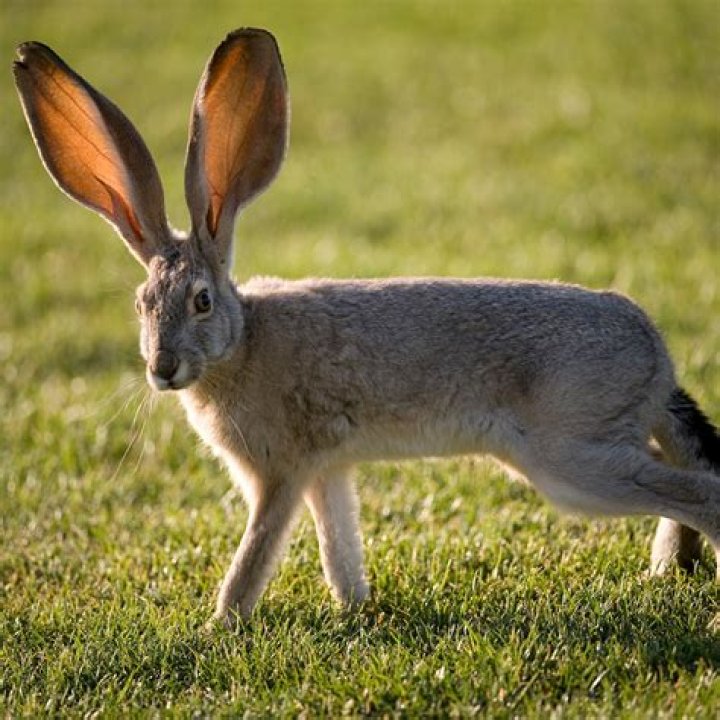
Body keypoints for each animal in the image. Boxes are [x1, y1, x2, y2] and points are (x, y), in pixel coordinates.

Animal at [14, 28, 720, 627]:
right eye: (141, 303)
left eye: (202, 301)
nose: (162, 369)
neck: (244, 344)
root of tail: (659, 357)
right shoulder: (327, 469)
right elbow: (339, 542)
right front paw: (354, 606)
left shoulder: (282, 470)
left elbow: (256, 551)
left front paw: (221, 624)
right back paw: (670, 567)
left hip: (570, 458)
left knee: (699, 489)